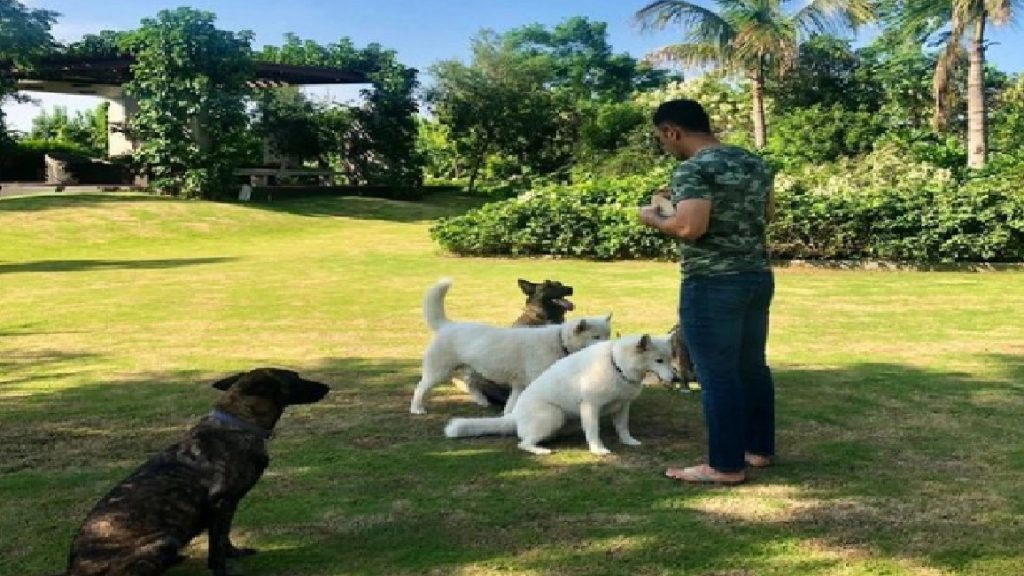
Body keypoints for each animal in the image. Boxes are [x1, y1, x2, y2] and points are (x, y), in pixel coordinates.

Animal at [57, 368, 330, 576]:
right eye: (295, 378)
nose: (327, 387)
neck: (239, 423)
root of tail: (74, 568)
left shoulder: (226, 507)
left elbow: (224, 537)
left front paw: (234, 553)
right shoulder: (221, 504)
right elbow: (216, 546)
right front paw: (221, 570)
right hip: (164, 540)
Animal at [444, 333, 675, 456]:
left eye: (670, 358)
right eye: (658, 361)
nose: (675, 378)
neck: (617, 366)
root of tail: (514, 416)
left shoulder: (622, 406)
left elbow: (623, 428)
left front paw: (629, 441)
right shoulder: (590, 407)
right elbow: (593, 432)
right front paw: (598, 450)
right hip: (553, 415)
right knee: (523, 443)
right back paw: (540, 450)